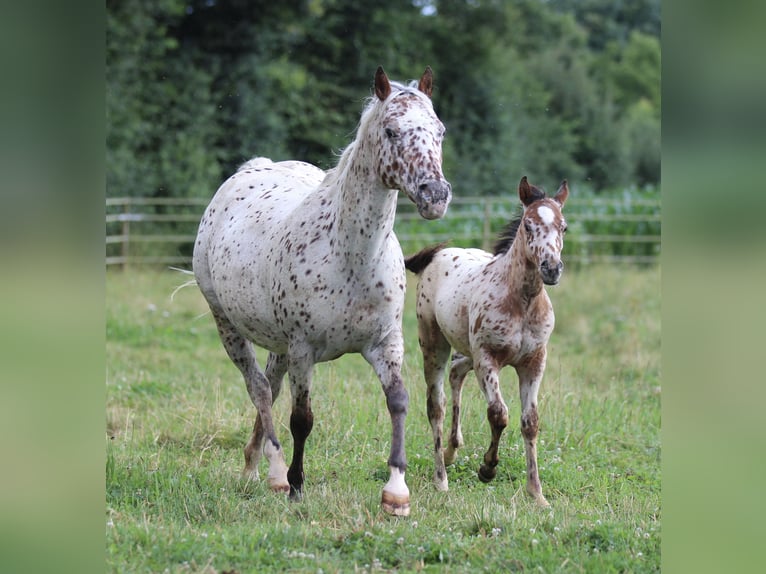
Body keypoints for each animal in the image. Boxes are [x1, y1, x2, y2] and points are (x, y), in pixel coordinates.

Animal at [194, 66, 456, 516]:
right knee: (258, 389)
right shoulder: (303, 349)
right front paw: (297, 485)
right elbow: (302, 419)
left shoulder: (386, 343)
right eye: (391, 130)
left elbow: (398, 401)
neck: (351, 257)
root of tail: (251, 170)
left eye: (439, 130)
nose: (434, 195)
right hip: (228, 325)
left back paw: (253, 465)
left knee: (269, 386)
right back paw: (276, 472)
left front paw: (396, 492)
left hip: (278, 344)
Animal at [404, 177, 568, 508]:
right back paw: (441, 478)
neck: (522, 302)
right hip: (434, 343)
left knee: (457, 373)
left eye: (564, 227)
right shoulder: (488, 358)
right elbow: (499, 414)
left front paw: (537, 493)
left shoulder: (534, 362)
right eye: (528, 225)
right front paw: (487, 468)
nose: (551, 268)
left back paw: (452, 450)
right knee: (436, 405)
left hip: (466, 351)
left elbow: (530, 421)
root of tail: (437, 255)